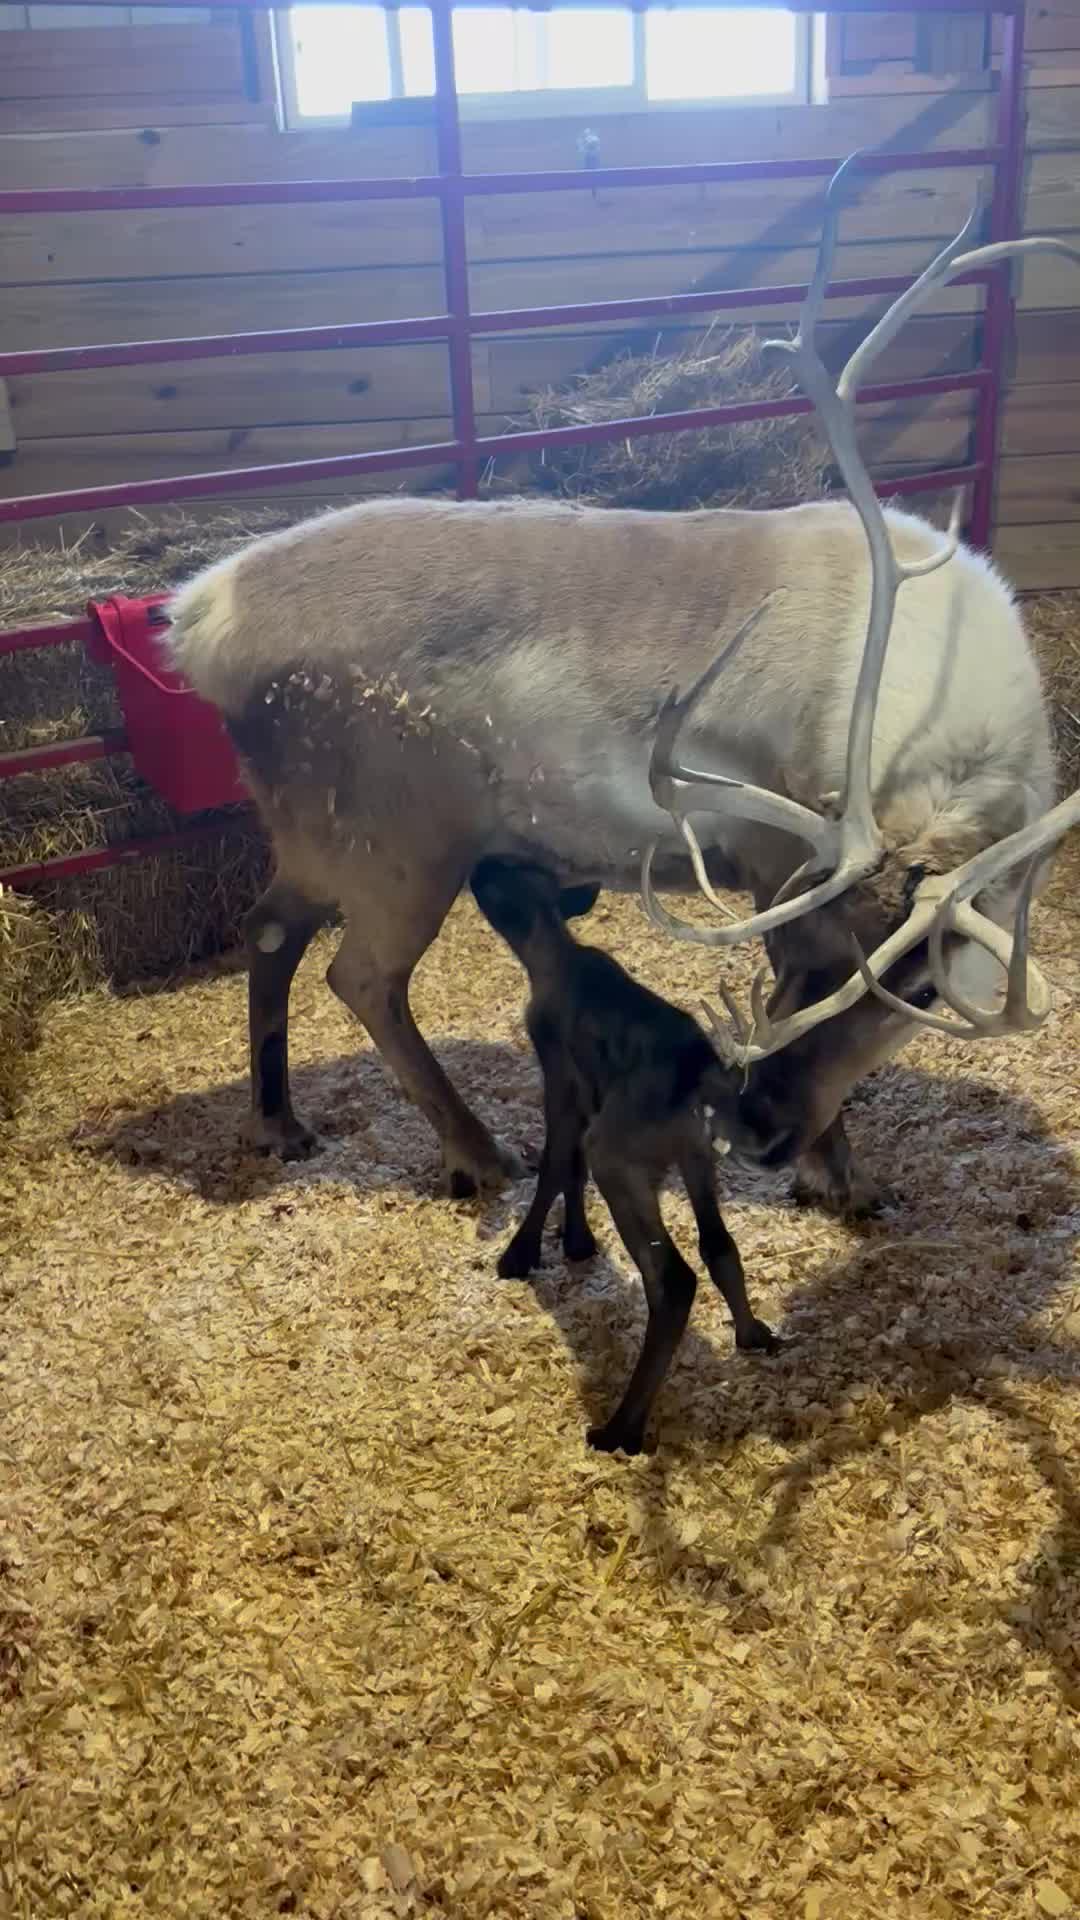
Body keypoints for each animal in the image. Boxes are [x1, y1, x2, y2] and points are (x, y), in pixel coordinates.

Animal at [165, 155, 1080, 1216]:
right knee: (360, 976)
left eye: (925, 989)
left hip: (313, 836)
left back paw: (278, 1123)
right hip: (398, 843)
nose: (758, 1123)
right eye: (809, 953)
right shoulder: (773, 849)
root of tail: (200, 615)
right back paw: (475, 1152)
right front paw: (842, 1180)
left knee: (270, 932)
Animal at [469, 855, 780, 1454]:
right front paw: (575, 1240)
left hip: (623, 1160)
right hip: (695, 1156)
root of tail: (700, 1082)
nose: (478, 865)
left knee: (673, 1279)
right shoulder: (592, 1090)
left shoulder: (561, 1076)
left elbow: (555, 1163)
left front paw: (523, 1252)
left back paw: (622, 1428)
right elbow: (570, 1172)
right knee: (718, 1244)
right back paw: (752, 1333)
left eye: (502, 879)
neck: (554, 955)